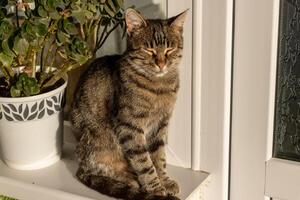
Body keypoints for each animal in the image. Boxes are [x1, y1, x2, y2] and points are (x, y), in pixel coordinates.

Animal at [70, 8, 188, 200]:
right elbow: (144, 161)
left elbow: (159, 157)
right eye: (149, 49)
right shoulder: (129, 126)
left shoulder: (160, 125)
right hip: (100, 143)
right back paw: (130, 180)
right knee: (102, 169)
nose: (161, 64)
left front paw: (164, 180)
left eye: (169, 49)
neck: (158, 87)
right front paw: (155, 188)